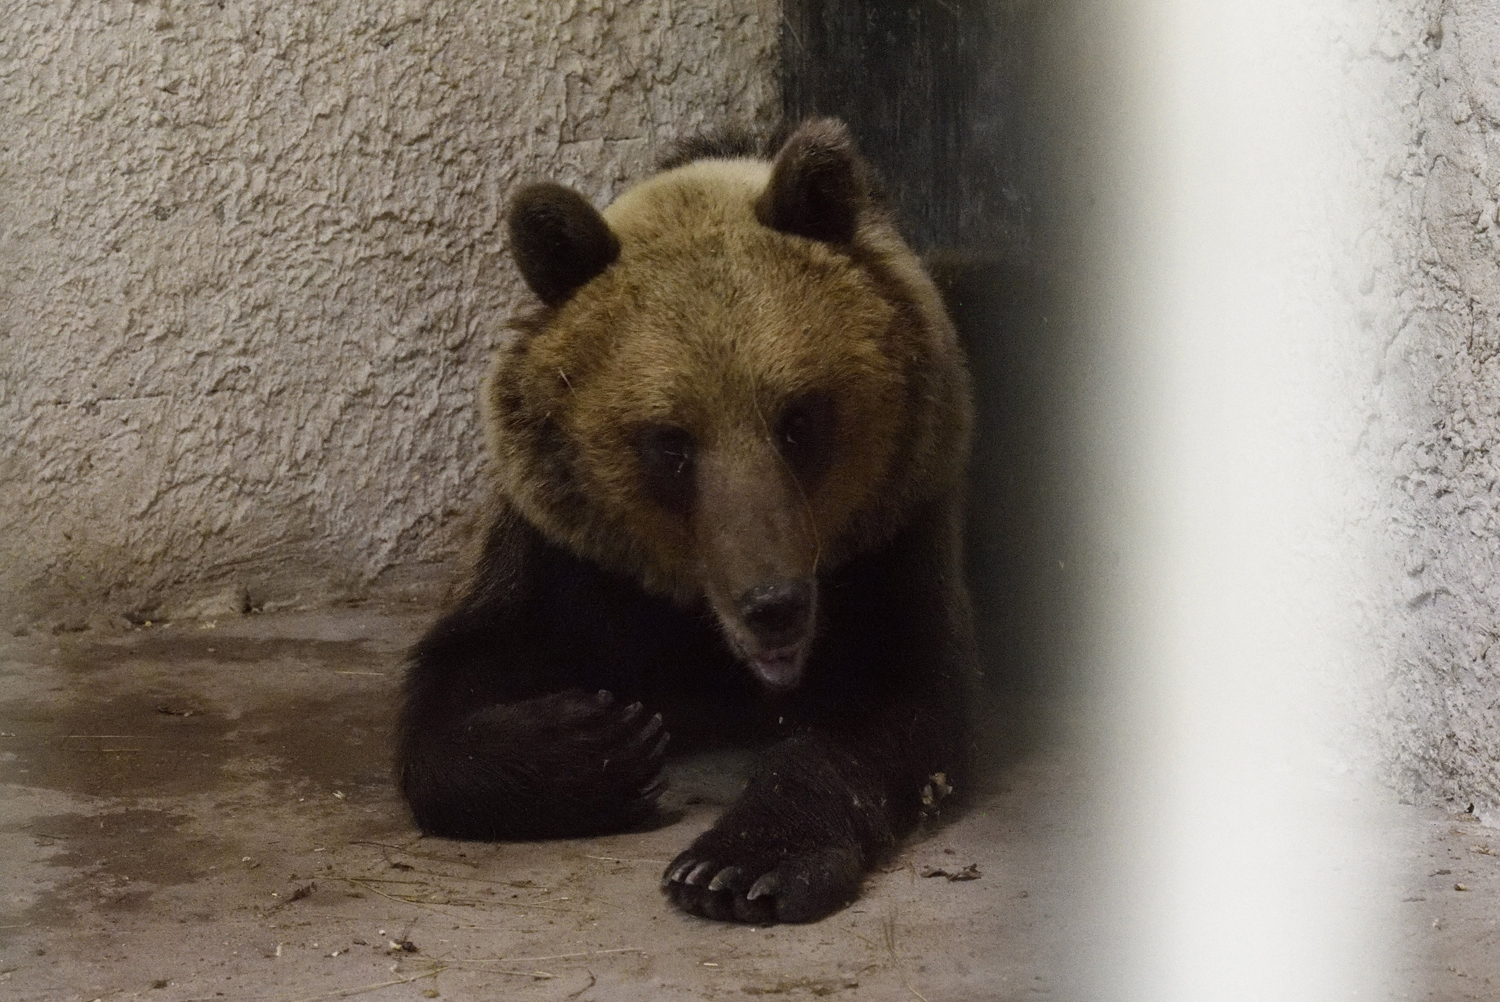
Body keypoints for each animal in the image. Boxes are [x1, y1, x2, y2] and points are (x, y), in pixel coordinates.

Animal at [396, 118, 977, 925]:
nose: (773, 605)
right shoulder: (560, 560)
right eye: (671, 443)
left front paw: (740, 865)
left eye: (799, 420)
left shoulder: (898, 535)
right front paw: (598, 739)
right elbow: (456, 688)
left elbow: (896, 705)